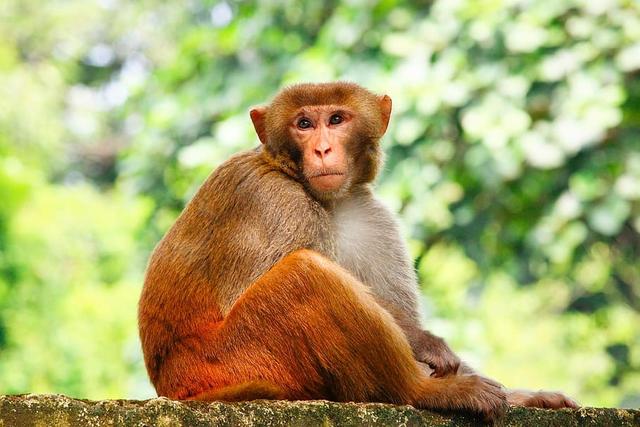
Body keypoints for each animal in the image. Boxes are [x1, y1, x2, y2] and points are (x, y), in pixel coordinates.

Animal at [139, 81, 576, 422]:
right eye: (303, 124)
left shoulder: (370, 216)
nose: (322, 150)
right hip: (234, 362)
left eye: (336, 120)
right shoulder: (274, 203)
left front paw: (519, 394)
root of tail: (173, 388)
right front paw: (425, 344)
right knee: (304, 274)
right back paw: (423, 392)